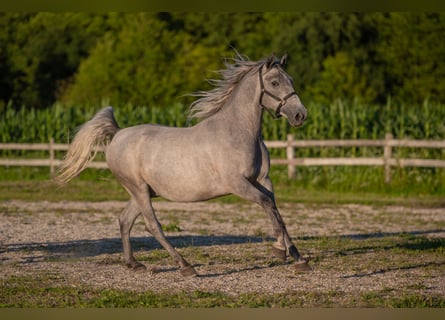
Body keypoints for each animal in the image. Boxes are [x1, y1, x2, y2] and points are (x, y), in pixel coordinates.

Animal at [56, 53, 308, 276]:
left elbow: (276, 211)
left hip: (144, 191)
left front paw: (298, 258)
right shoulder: (238, 184)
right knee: (152, 225)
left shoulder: (263, 179)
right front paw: (280, 250)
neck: (238, 132)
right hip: (138, 189)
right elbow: (267, 204)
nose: (300, 115)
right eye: (274, 82)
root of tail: (118, 134)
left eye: (291, 80)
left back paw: (134, 264)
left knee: (125, 220)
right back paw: (186, 266)